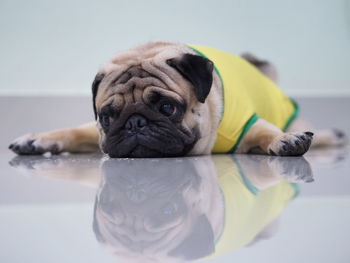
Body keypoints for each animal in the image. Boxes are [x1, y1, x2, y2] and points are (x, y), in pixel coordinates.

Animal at [8, 41, 348, 158]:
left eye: (167, 108)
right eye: (107, 117)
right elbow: (73, 131)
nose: (135, 123)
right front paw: (37, 140)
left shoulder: (247, 125)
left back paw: (328, 135)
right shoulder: (96, 133)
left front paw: (284, 140)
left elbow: (265, 131)